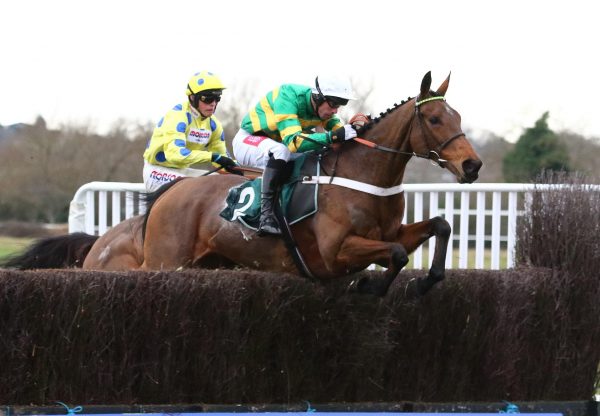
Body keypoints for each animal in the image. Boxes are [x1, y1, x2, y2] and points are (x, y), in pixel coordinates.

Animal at [141, 71, 482, 296]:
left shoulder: (392, 233)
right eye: (434, 119)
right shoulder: (334, 253)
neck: (363, 175)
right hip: (165, 260)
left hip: (215, 261)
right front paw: (370, 286)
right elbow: (398, 254)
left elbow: (439, 226)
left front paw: (425, 280)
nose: (472, 165)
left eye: (457, 116)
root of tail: (173, 189)